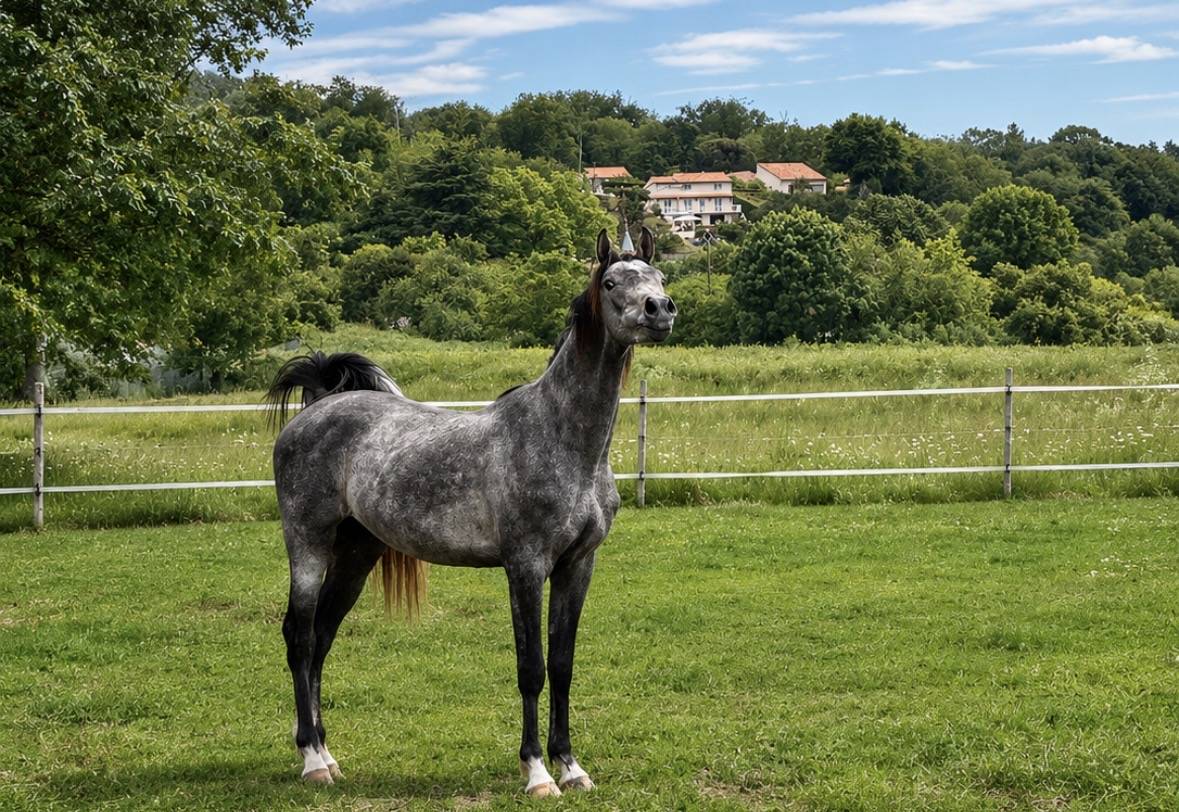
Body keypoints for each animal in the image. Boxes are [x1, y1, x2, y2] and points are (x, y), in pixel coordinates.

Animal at [266, 227, 676, 797]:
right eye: (613, 282)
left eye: (658, 277)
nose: (660, 310)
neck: (563, 438)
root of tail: (318, 406)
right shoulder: (525, 566)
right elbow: (531, 668)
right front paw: (537, 772)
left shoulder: (578, 565)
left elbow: (563, 664)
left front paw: (571, 766)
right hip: (308, 545)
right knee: (300, 638)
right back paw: (311, 759)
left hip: (356, 554)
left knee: (323, 638)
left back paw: (328, 753)